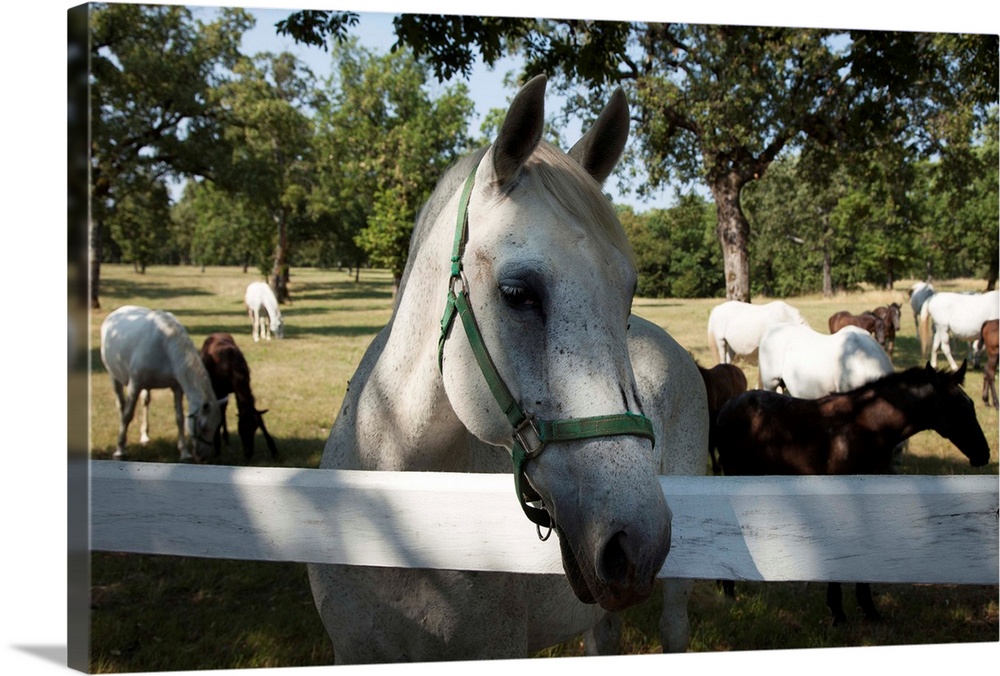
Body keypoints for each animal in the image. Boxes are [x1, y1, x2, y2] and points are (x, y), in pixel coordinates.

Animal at [98, 304, 220, 460]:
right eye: (203, 426)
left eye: (217, 425)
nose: (203, 456)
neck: (165, 345)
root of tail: (116, 312)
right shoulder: (135, 385)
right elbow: (127, 415)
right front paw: (120, 450)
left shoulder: (176, 388)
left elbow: (179, 418)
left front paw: (184, 452)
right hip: (113, 377)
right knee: (121, 405)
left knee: (145, 402)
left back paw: (144, 436)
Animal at [199, 332, 278, 460]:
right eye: (241, 429)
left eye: (255, 428)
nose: (248, 453)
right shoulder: (218, 390)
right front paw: (216, 448)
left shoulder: (240, 387)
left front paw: (273, 449)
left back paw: (226, 438)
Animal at [716, 362, 988, 624]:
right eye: (954, 408)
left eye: (971, 405)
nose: (983, 454)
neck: (867, 427)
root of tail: (726, 408)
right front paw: (837, 611)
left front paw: (869, 609)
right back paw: (728, 589)